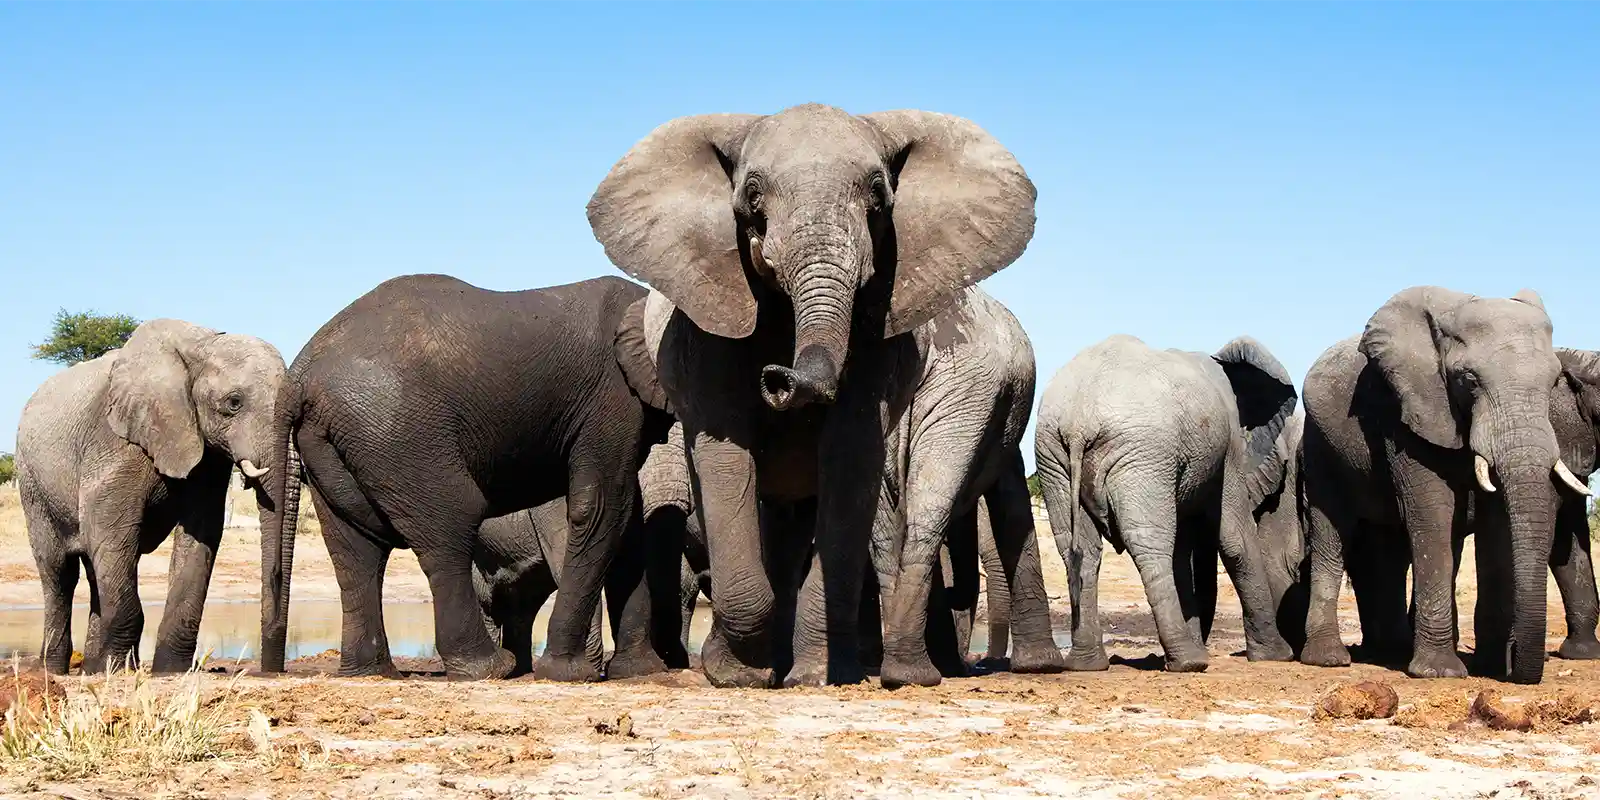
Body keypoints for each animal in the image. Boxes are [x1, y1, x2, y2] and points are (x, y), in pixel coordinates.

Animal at [14, 319, 286, 674]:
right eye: (234, 402)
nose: (272, 668)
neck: (200, 345)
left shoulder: (206, 454)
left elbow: (201, 534)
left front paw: (169, 671)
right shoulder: (114, 442)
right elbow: (112, 531)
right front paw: (116, 669)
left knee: (94, 567)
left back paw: (92, 668)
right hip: (32, 482)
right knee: (59, 572)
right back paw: (56, 670)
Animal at [257, 274, 674, 682]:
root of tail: (298, 375)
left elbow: (627, 520)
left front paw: (640, 671)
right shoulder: (612, 397)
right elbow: (602, 507)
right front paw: (569, 673)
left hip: (334, 439)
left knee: (356, 547)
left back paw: (372, 672)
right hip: (397, 430)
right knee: (451, 525)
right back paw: (490, 668)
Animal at [588, 102, 1041, 688]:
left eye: (878, 194)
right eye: (752, 194)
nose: (778, 378)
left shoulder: (878, 332)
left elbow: (850, 456)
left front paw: (813, 676)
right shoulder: (706, 326)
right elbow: (726, 455)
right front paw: (739, 674)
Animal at [1033, 334, 1298, 672]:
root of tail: (1079, 421)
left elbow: (1183, 550)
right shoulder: (1229, 450)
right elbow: (1235, 541)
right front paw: (1277, 655)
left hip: (1054, 456)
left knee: (1079, 549)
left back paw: (1087, 664)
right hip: (1141, 454)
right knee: (1150, 544)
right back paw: (1188, 662)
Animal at [1298, 286, 1590, 684]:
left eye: (1555, 381)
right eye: (1468, 380)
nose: (1517, 666)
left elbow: (1495, 523)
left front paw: (1491, 667)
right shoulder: (1408, 411)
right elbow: (1433, 512)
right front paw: (1439, 672)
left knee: (1389, 548)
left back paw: (1392, 650)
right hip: (1318, 444)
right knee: (1332, 531)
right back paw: (1329, 659)